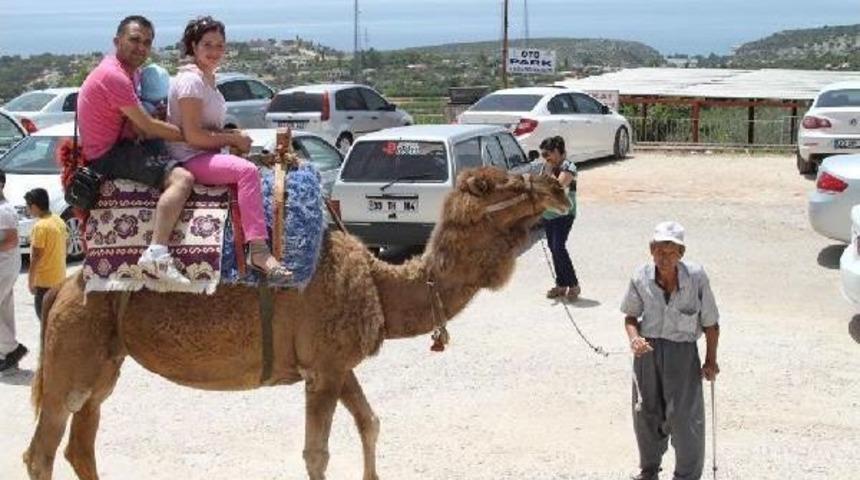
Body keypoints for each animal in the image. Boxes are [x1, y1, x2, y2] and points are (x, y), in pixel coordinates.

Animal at [23, 166, 570, 480]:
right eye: (489, 184)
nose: (557, 185)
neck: (378, 284)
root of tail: (62, 288)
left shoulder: (335, 364)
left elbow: (370, 423)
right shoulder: (323, 371)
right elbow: (317, 453)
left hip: (103, 364)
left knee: (81, 443)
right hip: (72, 354)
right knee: (42, 452)